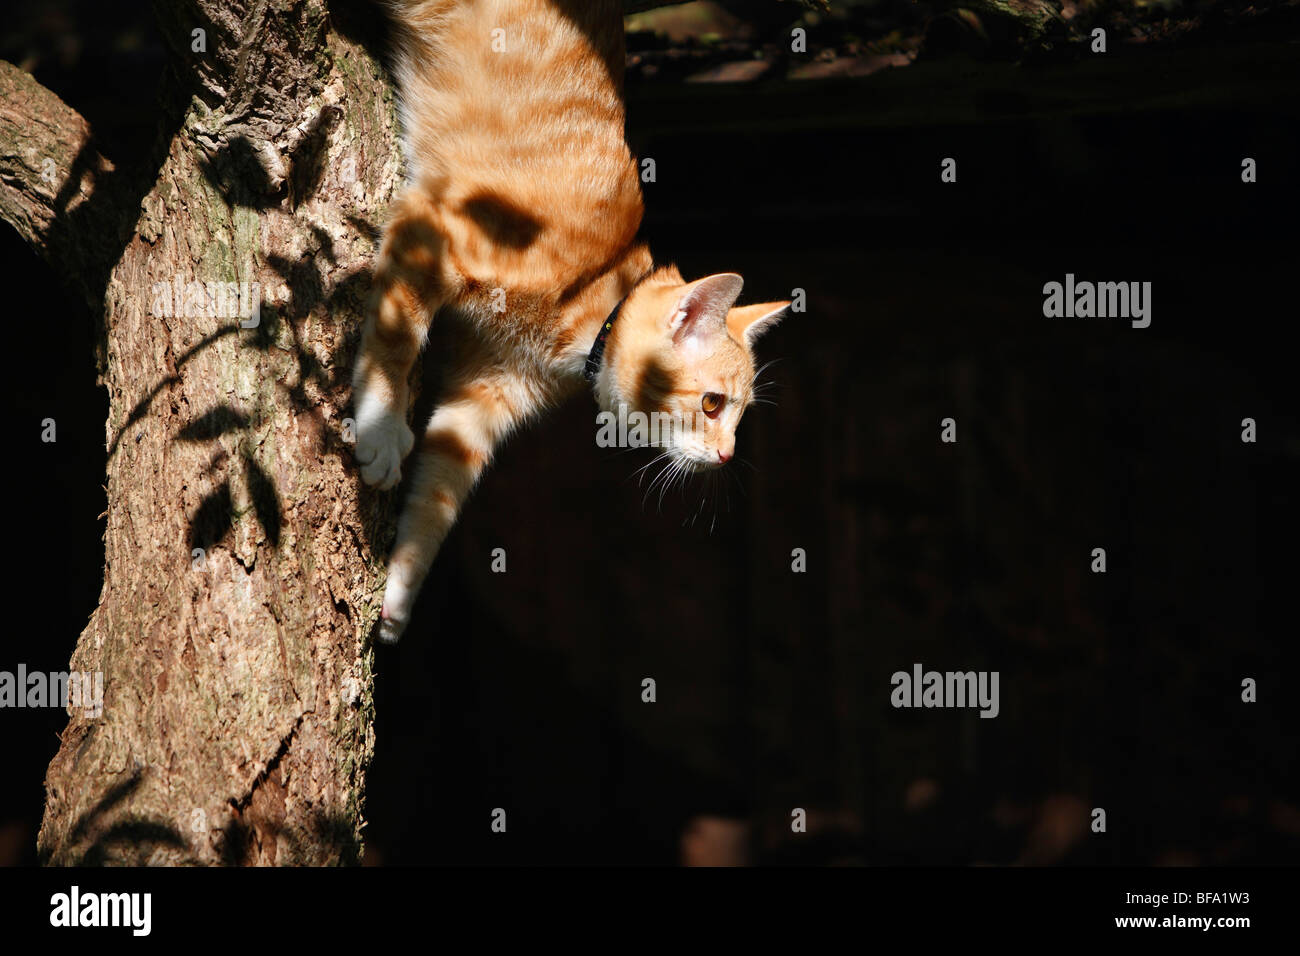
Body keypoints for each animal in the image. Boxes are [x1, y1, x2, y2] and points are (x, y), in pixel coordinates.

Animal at [351, 3, 785, 642]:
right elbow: (396, 338)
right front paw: (381, 426)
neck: (594, 294)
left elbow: (436, 498)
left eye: (740, 412)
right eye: (711, 405)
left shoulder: (483, 401)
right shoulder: (436, 234)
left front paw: (400, 593)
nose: (729, 455)